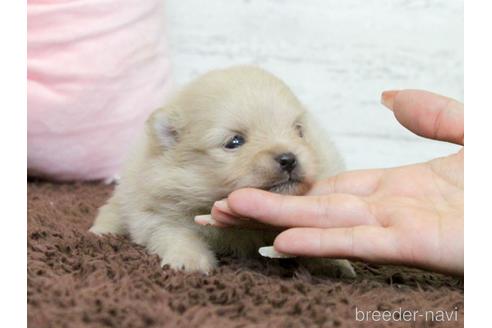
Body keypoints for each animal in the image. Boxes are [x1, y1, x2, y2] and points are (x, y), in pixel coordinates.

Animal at [90, 66, 356, 276]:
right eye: (235, 142)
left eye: (299, 130)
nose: (288, 159)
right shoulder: (155, 210)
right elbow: (174, 233)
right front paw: (189, 261)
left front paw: (333, 262)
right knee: (113, 210)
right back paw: (101, 231)